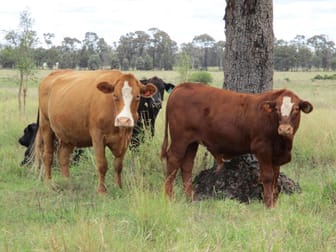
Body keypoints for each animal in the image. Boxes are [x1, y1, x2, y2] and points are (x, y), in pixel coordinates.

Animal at [161, 82, 314, 207]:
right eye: (276, 109)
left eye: (296, 109)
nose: (284, 129)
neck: (282, 143)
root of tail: (183, 86)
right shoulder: (262, 149)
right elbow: (268, 176)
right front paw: (268, 204)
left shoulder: (276, 155)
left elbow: (275, 177)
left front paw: (274, 202)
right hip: (180, 140)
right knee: (173, 161)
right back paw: (168, 197)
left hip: (192, 142)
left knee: (187, 166)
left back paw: (191, 197)